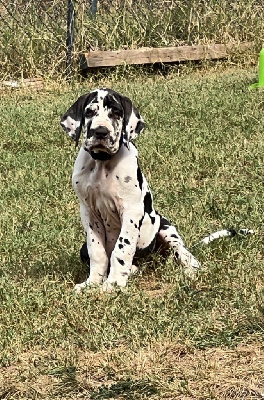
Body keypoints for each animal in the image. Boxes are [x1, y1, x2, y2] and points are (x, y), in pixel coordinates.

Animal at [60, 89, 200, 292]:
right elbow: (97, 251)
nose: (100, 132)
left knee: (182, 251)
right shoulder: (88, 213)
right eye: (90, 112)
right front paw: (92, 283)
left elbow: (121, 248)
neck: (102, 162)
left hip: (166, 229)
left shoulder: (131, 211)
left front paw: (113, 283)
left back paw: (190, 269)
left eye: (116, 112)